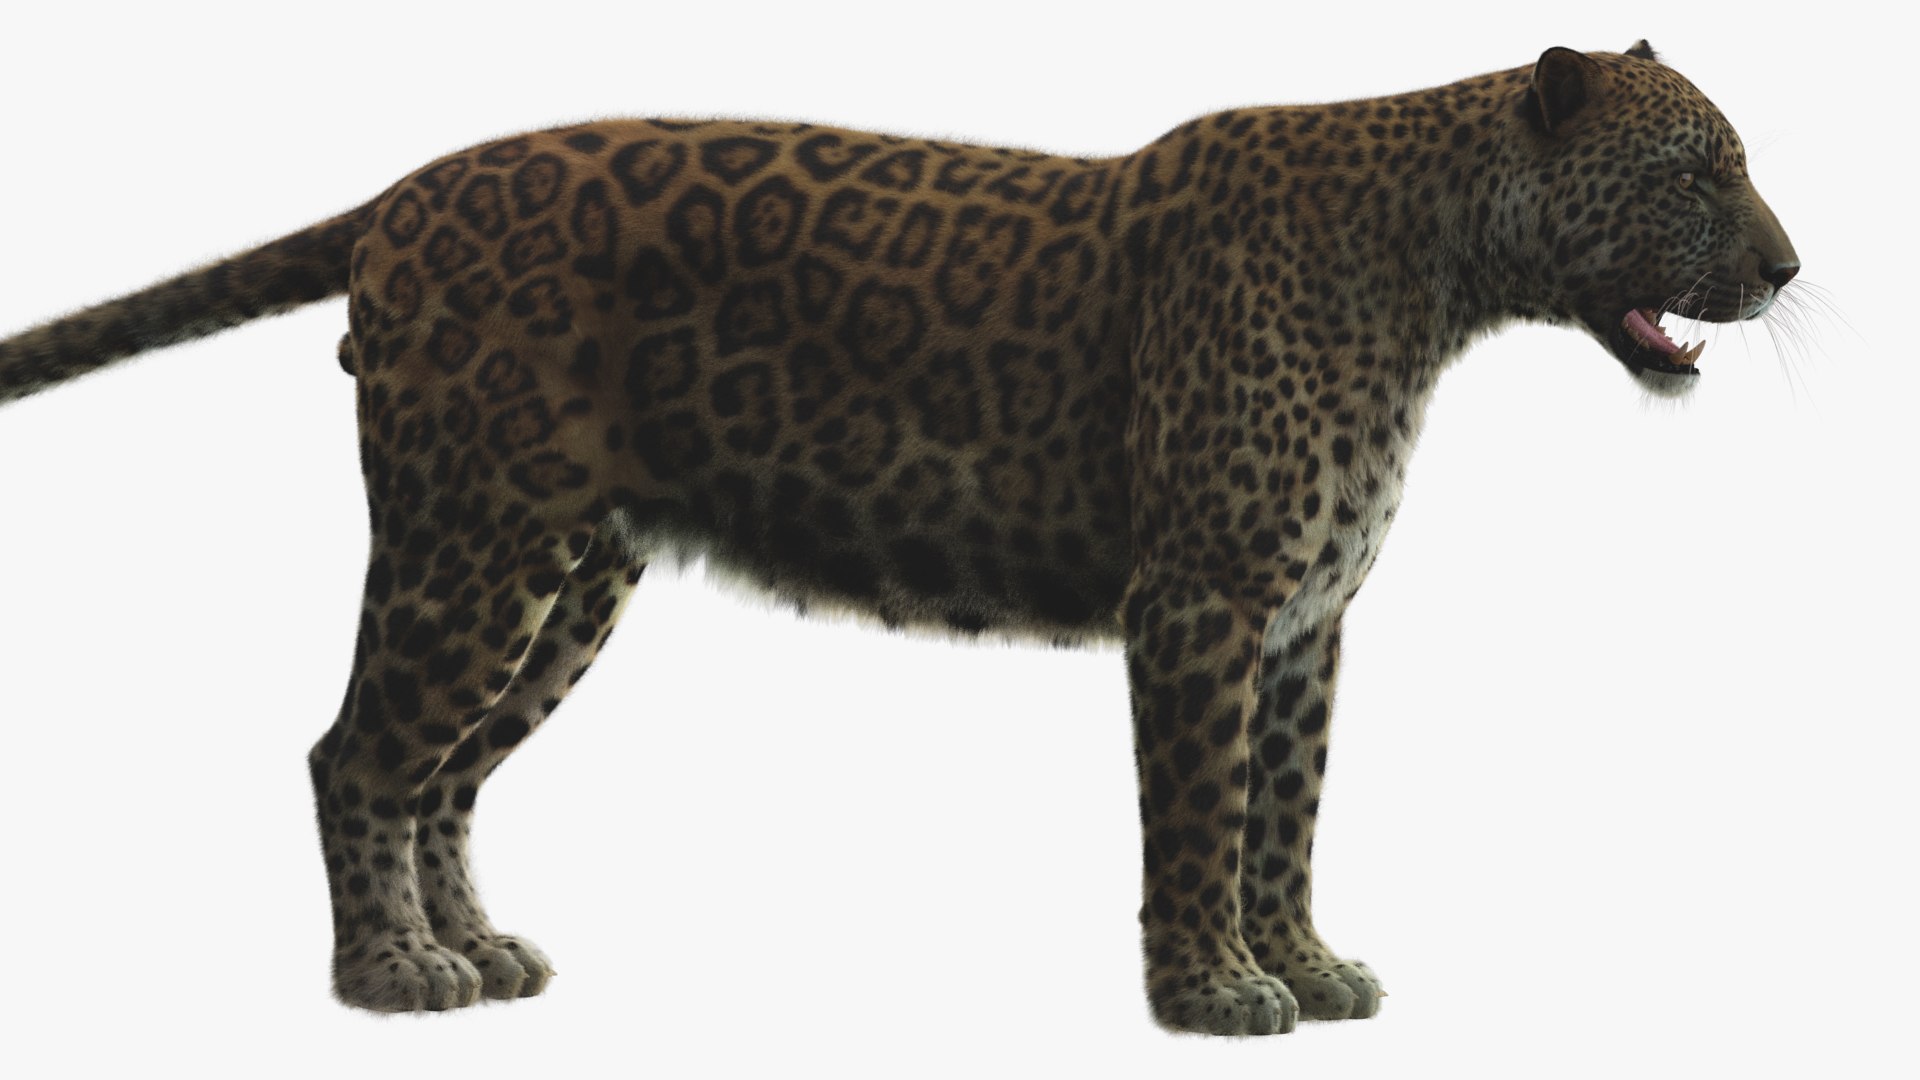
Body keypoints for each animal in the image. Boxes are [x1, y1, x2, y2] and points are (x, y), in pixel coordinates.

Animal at [0, 41, 1797, 1035]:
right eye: (1692, 173)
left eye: (1739, 167)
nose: (1786, 268)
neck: (1442, 271)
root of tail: (404, 192)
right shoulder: (1205, 605)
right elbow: (1200, 817)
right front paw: (1213, 994)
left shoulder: (1304, 622)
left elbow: (1288, 812)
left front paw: (1306, 962)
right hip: (473, 538)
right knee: (355, 752)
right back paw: (391, 975)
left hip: (567, 579)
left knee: (440, 769)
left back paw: (478, 951)